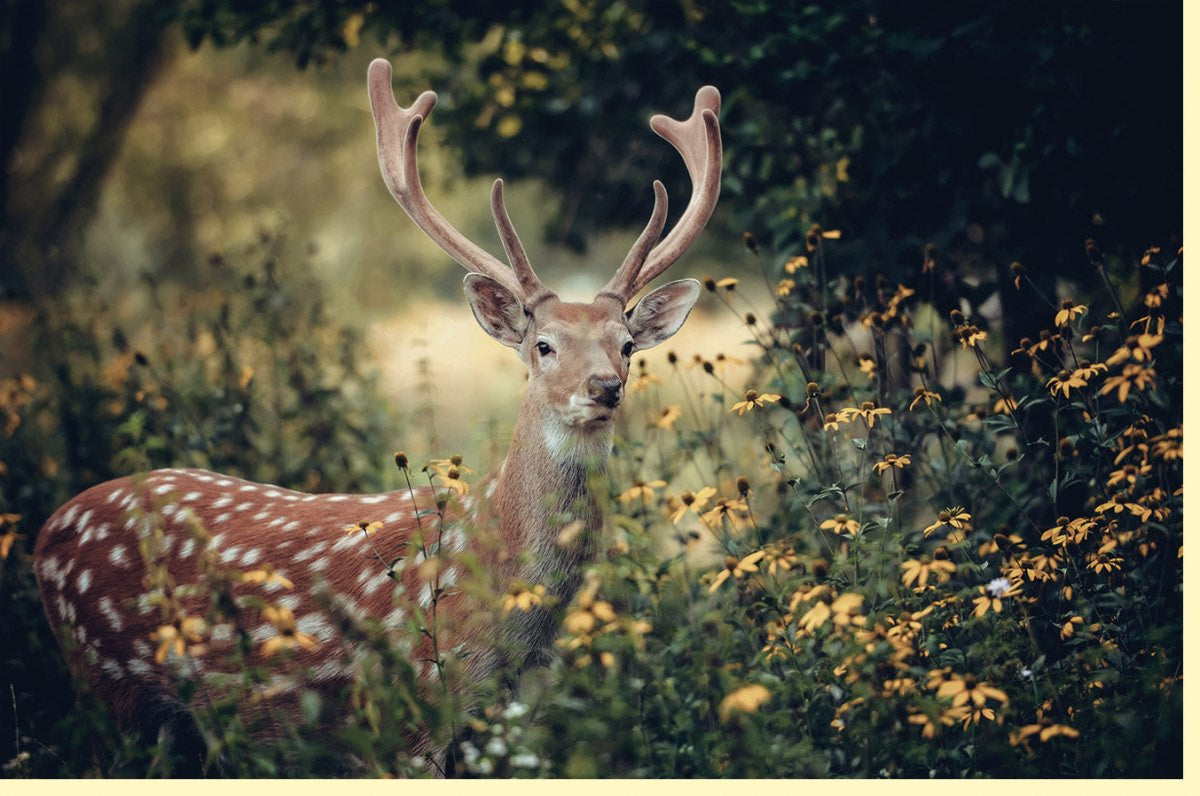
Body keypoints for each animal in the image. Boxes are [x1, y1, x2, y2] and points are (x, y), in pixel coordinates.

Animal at [33, 58, 721, 773]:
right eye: (543, 345)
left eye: (628, 344)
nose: (604, 386)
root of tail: (44, 532)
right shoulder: (410, 712)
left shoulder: (508, 722)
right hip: (108, 686)